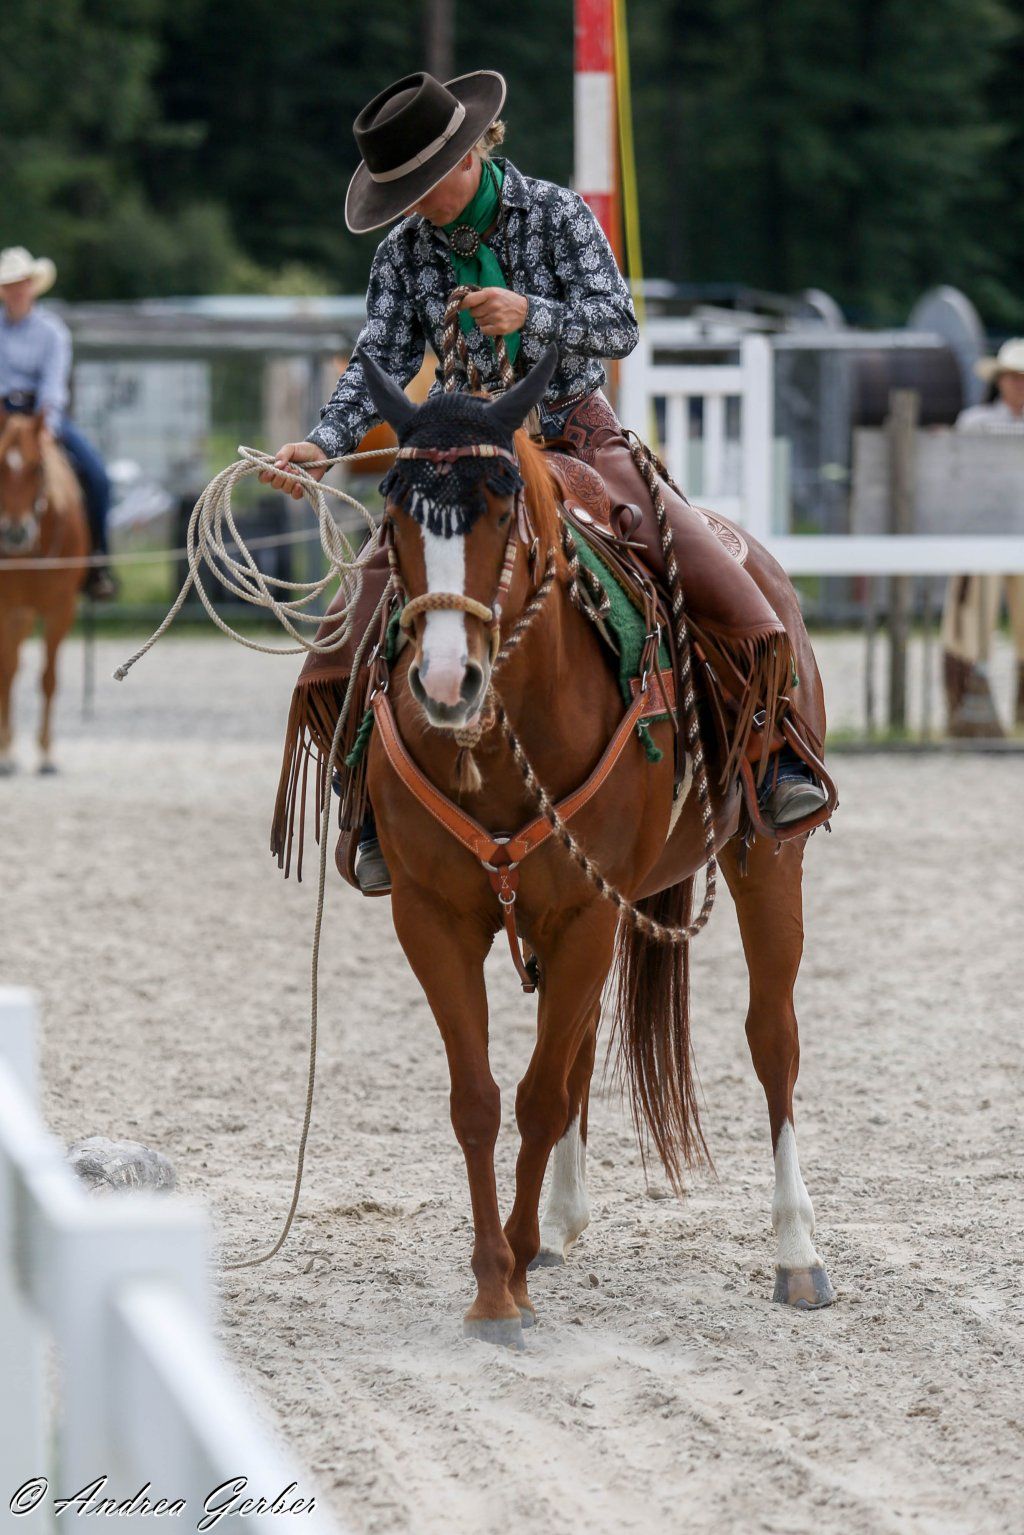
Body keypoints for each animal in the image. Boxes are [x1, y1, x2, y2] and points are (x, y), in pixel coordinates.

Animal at [345, 349, 835, 1346]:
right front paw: (498, 1280)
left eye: (501, 511)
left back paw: (797, 1254)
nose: (445, 682)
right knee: (574, 1058)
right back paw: (558, 1228)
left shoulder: (581, 914)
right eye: (395, 515)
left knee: (773, 1038)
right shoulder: (434, 918)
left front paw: (509, 1278)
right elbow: (482, 1098)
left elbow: (536, 1095)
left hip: (766, 862)